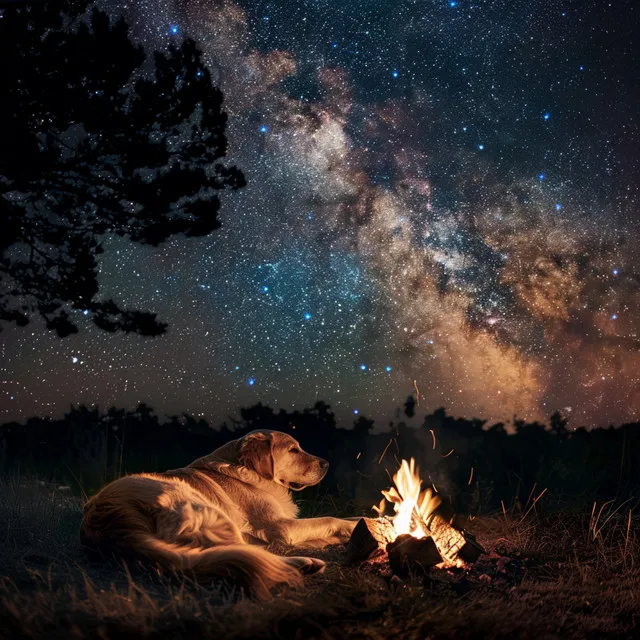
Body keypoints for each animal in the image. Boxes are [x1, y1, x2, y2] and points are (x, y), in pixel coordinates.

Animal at [80, 430, 358, 600]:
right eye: (293, 450)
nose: (326, 464)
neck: (248, 472)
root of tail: (110, 522)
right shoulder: (281, 527)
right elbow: (329, 519)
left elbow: (338, 521)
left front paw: (359, 524)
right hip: (204, 508)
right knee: (240, 554)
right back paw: (306, 564)